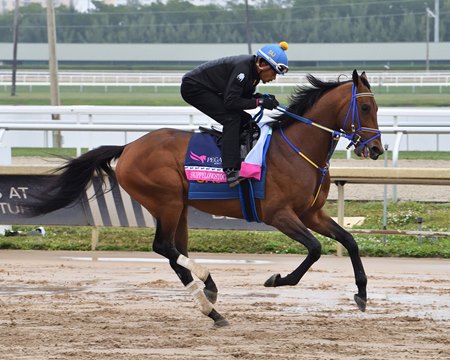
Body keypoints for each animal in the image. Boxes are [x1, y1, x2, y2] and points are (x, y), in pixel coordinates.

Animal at [26, 69, 384, 326]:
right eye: (365, 107)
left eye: (377, 108)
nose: (377, 149)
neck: (296, 150)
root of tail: (128, 147)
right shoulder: (279, 214)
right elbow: (314, 249)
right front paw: (277, 279)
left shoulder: (311, 213)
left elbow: (349, 241)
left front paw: (362, 294)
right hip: (167, 201)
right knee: (164, 247)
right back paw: (206, 282)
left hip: (179, 207)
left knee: (174, 253)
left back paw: (211, 305)